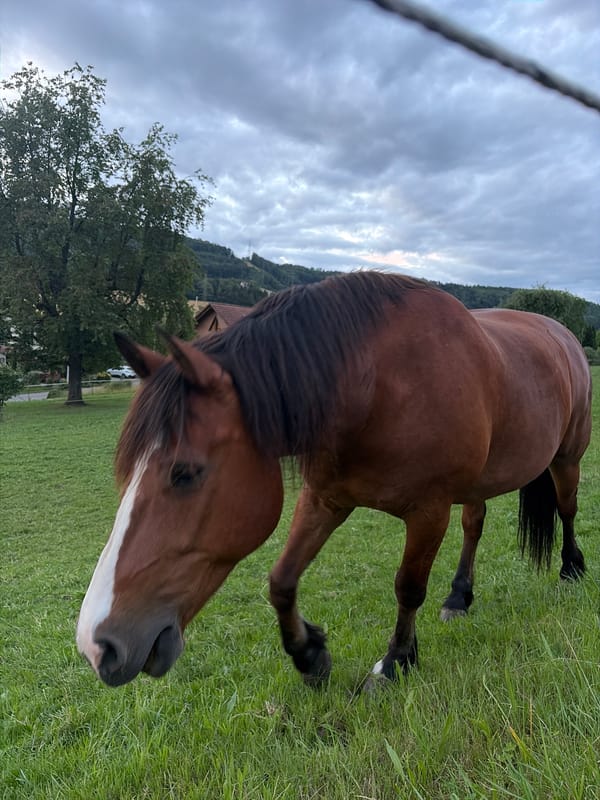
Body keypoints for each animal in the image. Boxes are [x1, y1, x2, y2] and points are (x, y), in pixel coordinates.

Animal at [76, 271, 592, 687]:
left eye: (185, 473)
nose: (97, 644)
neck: (379, 386)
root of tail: (561, 333)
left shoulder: (428, 512)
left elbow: (408, 587)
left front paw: (396, 662)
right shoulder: (325, 499)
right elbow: (281, 580)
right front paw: (309, 654)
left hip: (567, 459)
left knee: (567, 509)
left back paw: (571, 569)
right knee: (475, 524)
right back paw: (459, 596)